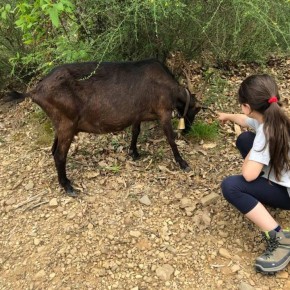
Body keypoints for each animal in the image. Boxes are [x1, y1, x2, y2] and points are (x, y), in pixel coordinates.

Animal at [9, 58, 202, 197]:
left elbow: (135, 131)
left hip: (60, 125)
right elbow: (170, 139)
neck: (168, 86)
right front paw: (183, 163)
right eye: (194, 111)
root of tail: (35, 91)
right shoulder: (163, 112)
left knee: (53, 149)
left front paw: (134, 153)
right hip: (67, 124)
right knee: (59, 155)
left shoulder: (137, 114)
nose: (188, 130)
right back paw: (68, 187)